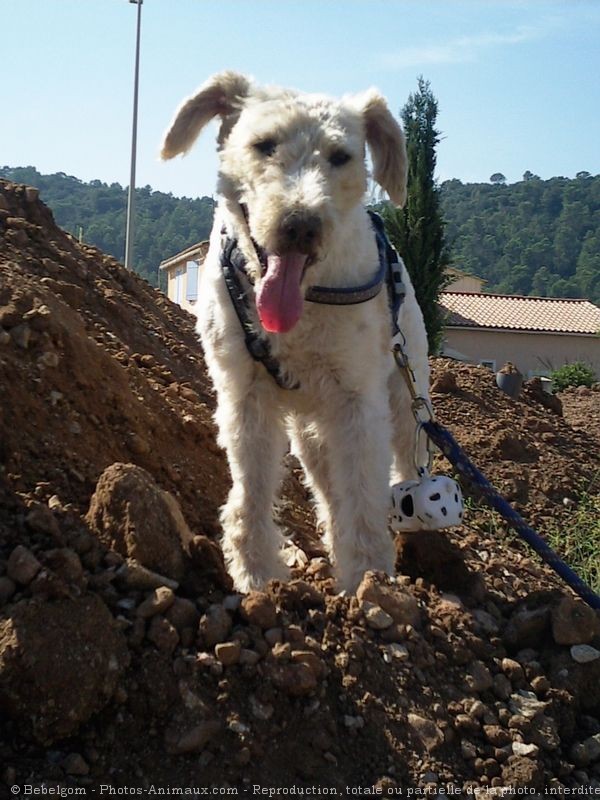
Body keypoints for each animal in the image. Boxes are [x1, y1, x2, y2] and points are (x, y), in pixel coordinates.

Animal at [162, 72, 428, 592]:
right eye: (264, 144)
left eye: (341, 156)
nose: (301, 225)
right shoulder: (246, 396)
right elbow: (252, 490)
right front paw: (256, 573)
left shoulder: (357, 402)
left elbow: (363, 494)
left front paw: (367, 581)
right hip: (311, 431)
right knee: (326, 489)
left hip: (406, 394)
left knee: (404, 464)